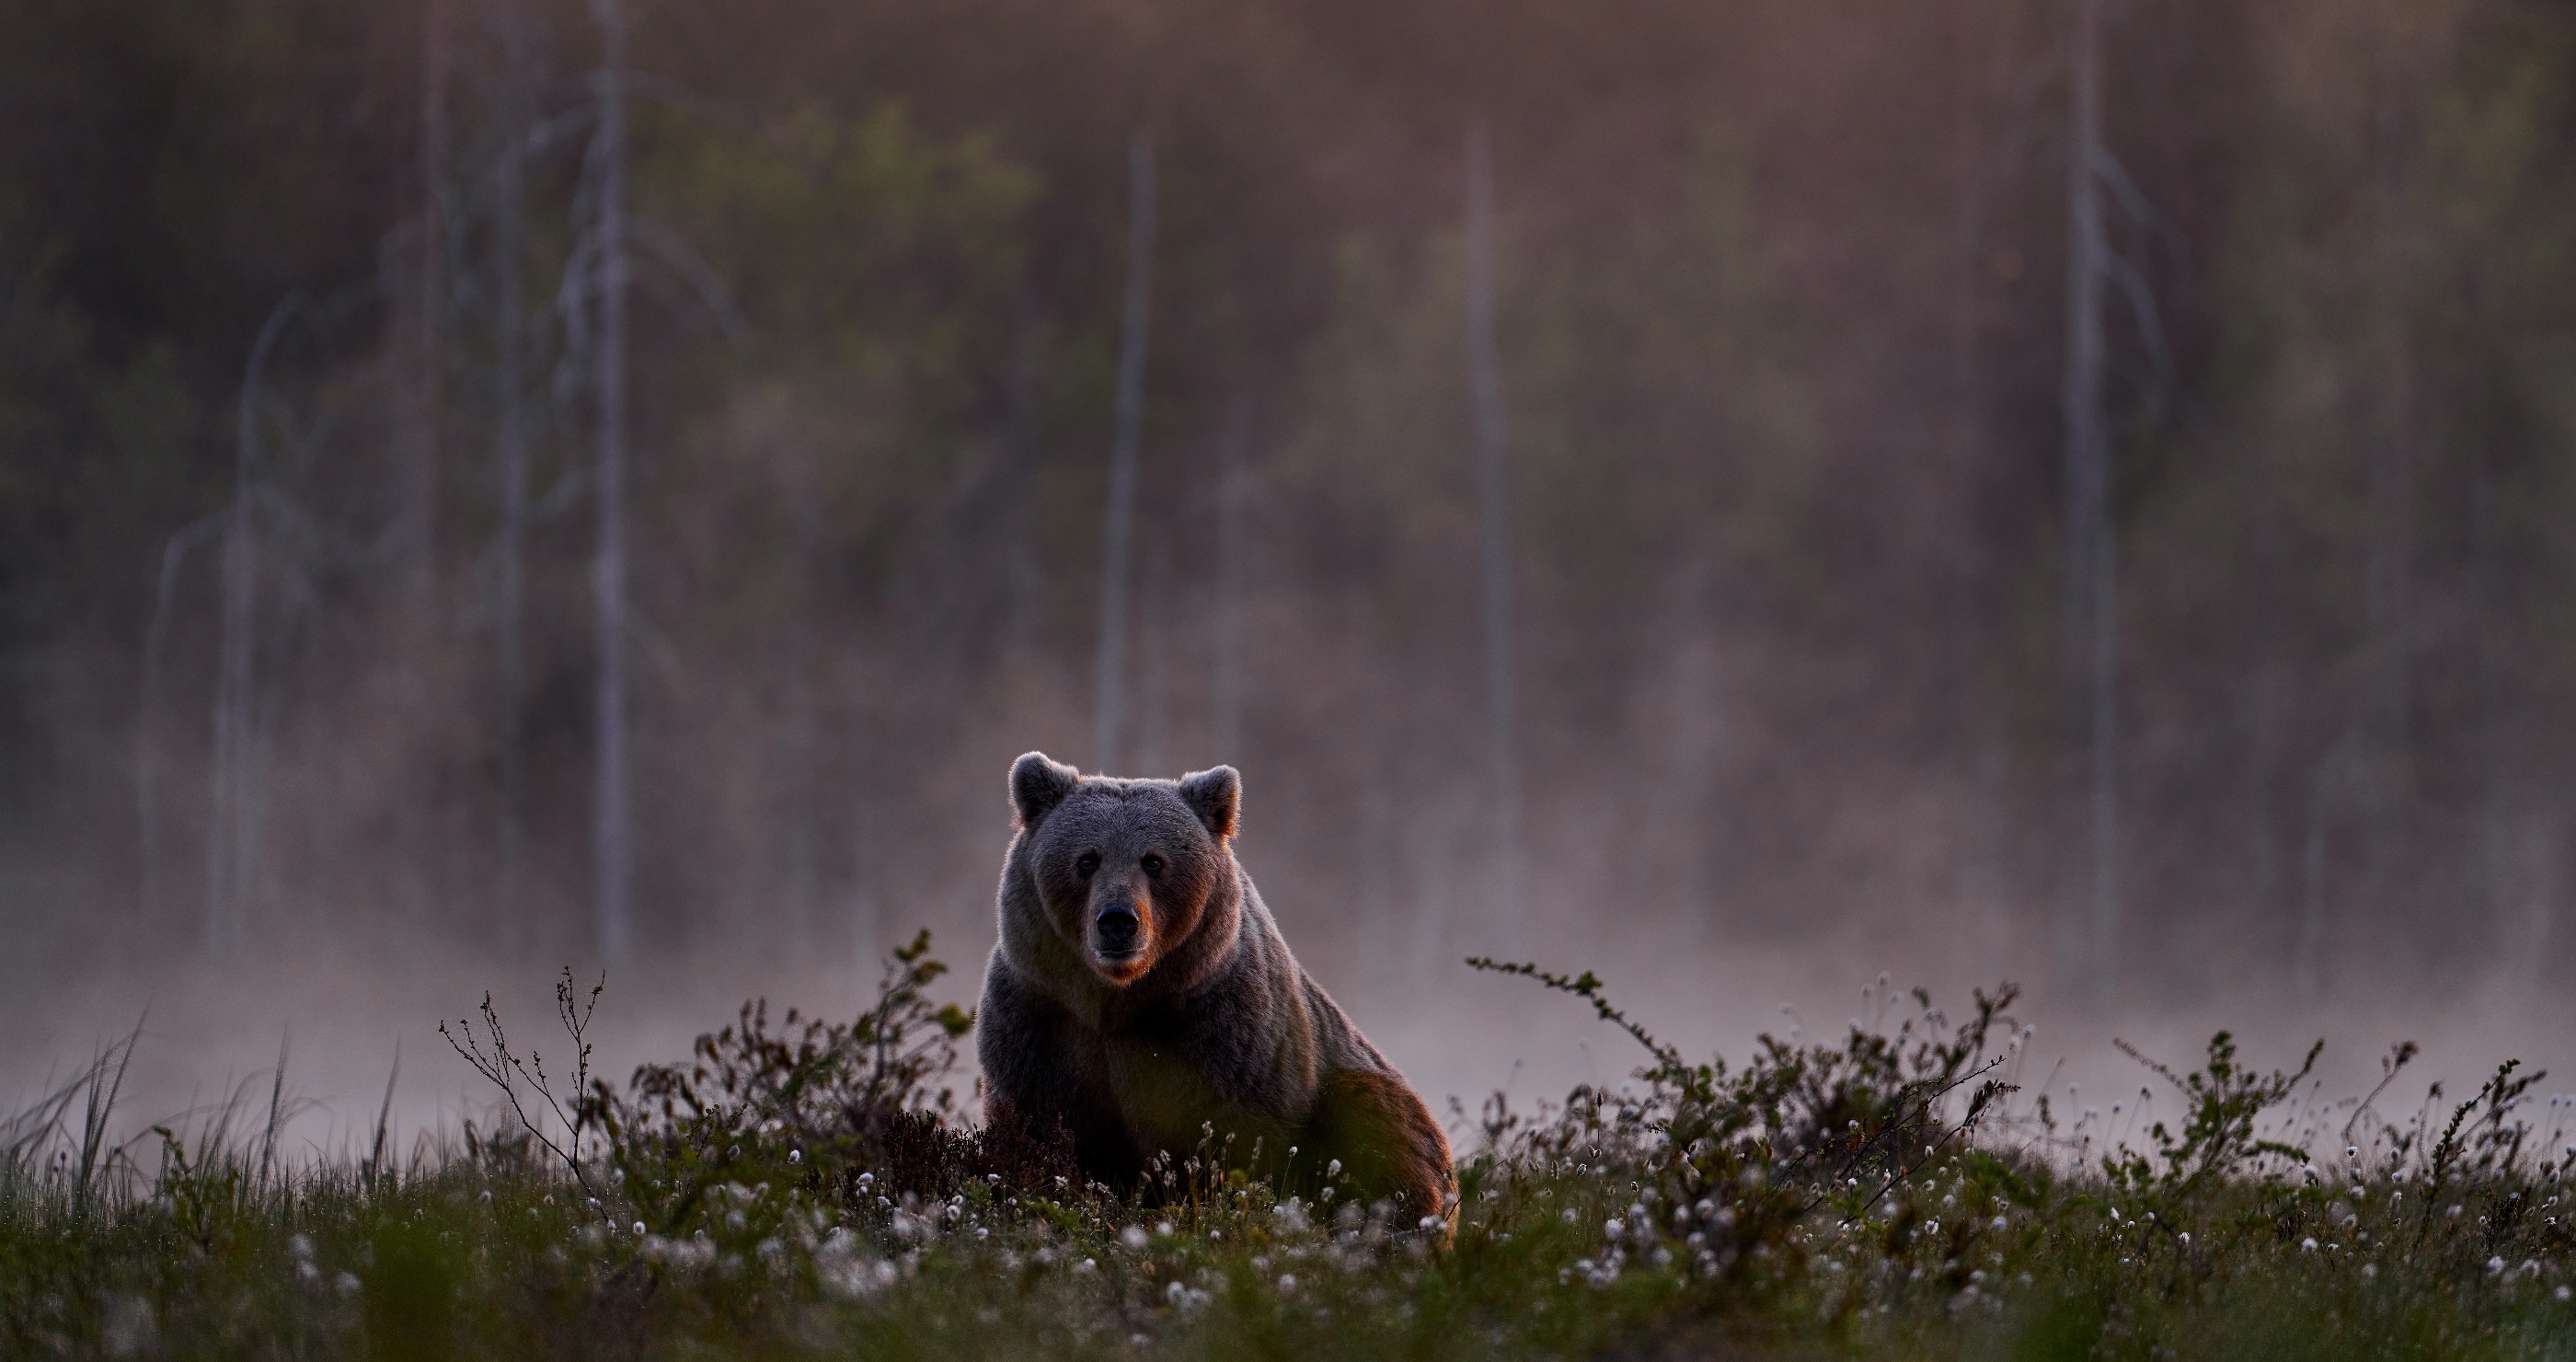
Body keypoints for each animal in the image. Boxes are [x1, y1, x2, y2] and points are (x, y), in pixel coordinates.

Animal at [968, 751, 1453, 1220]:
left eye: (1154, 860)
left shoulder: (1221, 1027)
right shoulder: (1039, 1016)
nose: (1118, 921)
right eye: (1087, 859)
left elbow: (1229, 1140)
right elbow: (1038, 1131)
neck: (1117, 1001)